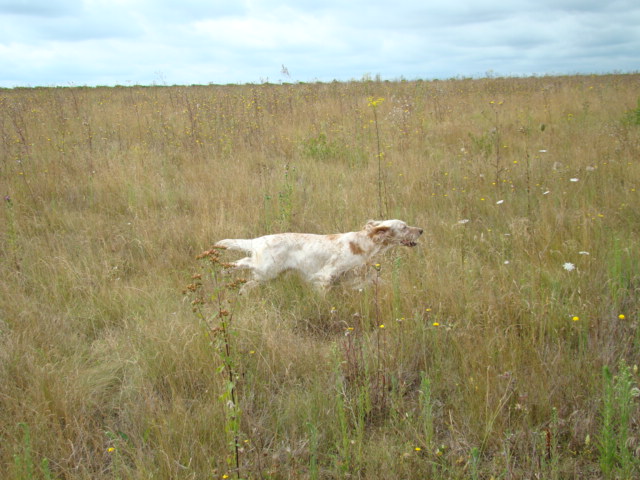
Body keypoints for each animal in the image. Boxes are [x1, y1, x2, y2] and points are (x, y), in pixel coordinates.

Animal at [216, 219, 424, 290]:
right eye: (404, 227)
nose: (421, 230)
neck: (363, 243)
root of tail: (259, 239)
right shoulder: (326, 274)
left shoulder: (356, 276)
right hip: (267, 270)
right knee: (243, 265)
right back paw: (224, 269)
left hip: (267, 273)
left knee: (245, 268)